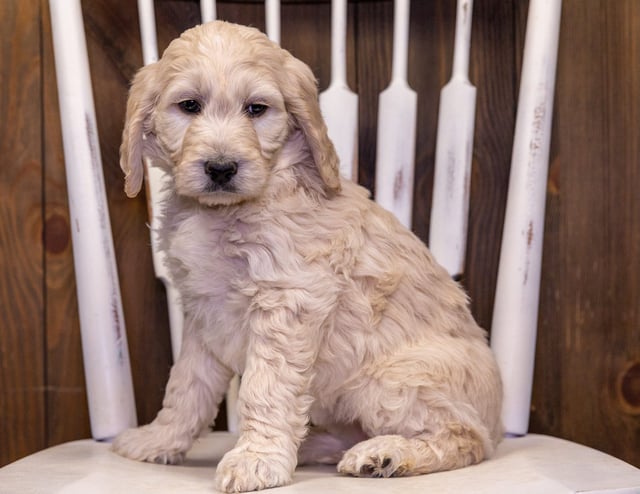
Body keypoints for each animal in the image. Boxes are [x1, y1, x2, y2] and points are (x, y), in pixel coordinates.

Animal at [112, 20, 502, 494]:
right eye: (189, 106)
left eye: (256, 109)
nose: (221, 168)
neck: (226, 213)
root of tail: (502, 422)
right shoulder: (204, 314)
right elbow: (186, 387)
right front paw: (159, 439)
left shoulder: (287, 301)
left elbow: (263, 388)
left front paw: (256, 458)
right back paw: (316, 445)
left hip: (394, 378)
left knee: (465, 436)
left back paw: (386, 453)